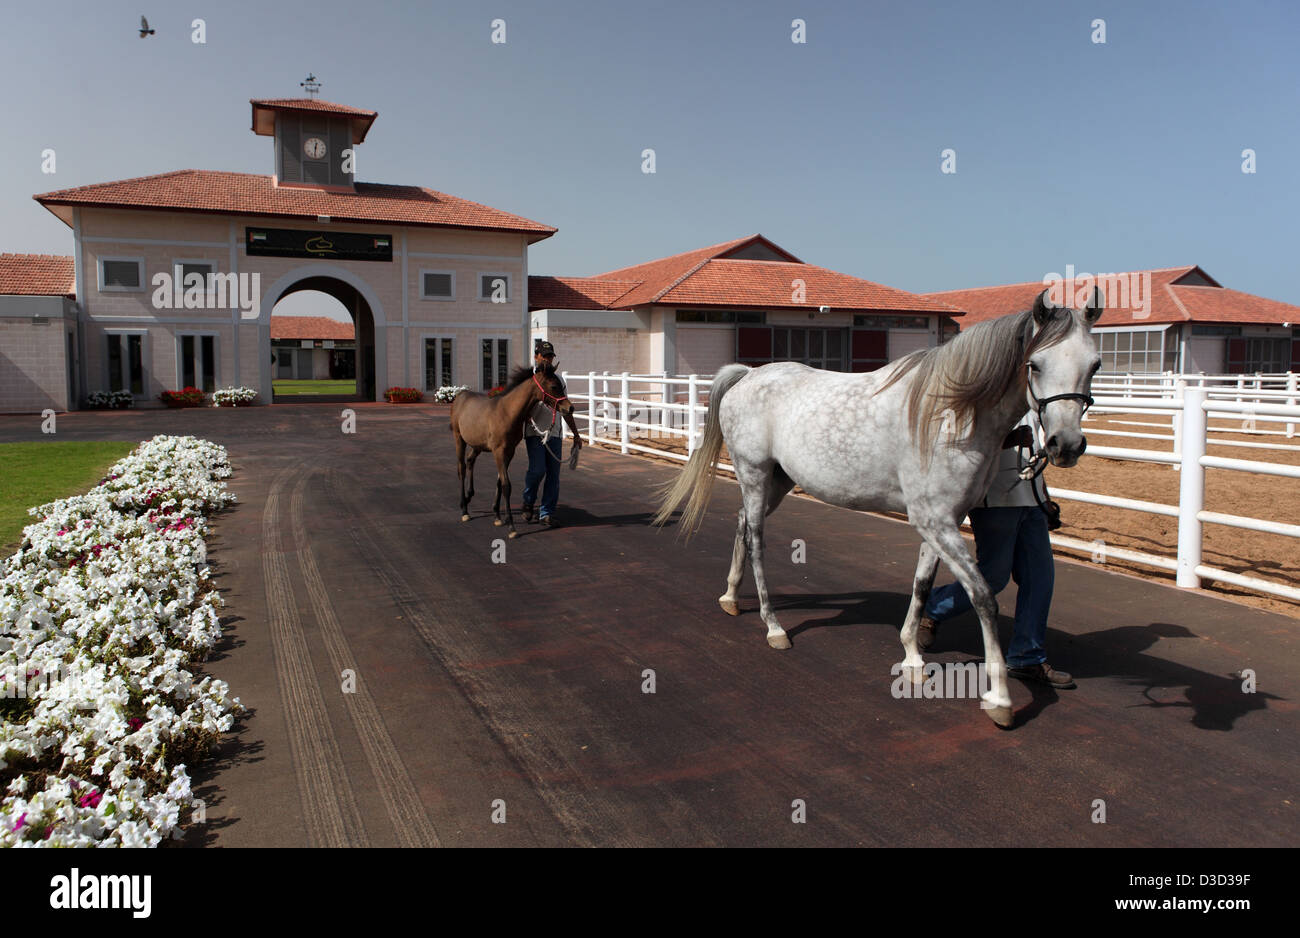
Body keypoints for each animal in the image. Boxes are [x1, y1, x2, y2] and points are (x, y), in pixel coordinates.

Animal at [450, 363, 572, 538]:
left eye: (561, 386)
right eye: (554, 386)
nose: (570, 407)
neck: (507, 412)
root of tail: (460, 395)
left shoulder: (509, 451)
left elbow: (500, 482)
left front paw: (498, 516)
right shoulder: (499, 451)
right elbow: (506, 485)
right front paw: (512, 527)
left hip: (477, 444)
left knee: (470, 460)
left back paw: (469, 496)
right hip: (459, 438)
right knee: (462, 468)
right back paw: (464, 510)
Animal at [653, 288, 1103, 727]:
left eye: (1095, 364)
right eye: (1035, 364)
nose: (1066, 444)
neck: (948, 414)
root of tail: (748, 375)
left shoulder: (942, 522)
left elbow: (923, 585)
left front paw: (913, 657)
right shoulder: (936, 522)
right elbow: (983, 597)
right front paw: (1000, 699)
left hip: (776, 482)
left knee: (743, 525)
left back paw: (731, 597)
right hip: (754, 473)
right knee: (758, 542)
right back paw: (773, 626)